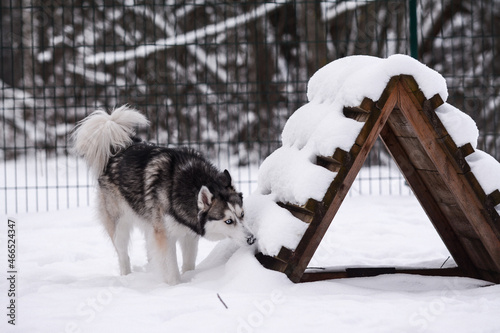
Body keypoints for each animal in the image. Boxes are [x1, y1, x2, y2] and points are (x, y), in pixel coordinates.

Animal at [72, 105, 256, 282]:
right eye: (228, 221)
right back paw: (126, 276)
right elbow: (171, 267)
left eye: (242, 215)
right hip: (120, 225)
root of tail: (118, 147)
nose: (251, 239)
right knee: (123, 255)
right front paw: (174, 286)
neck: (189, 184)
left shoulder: (188, 235)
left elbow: (188, 263)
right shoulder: (165, 236)